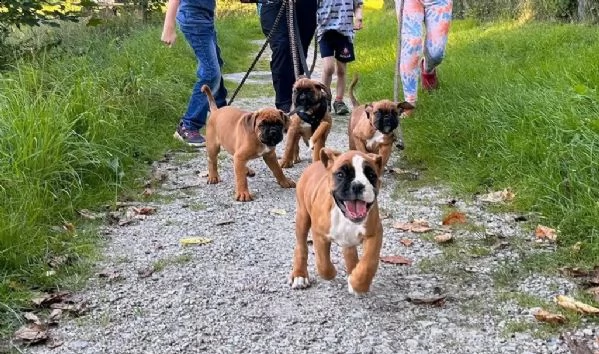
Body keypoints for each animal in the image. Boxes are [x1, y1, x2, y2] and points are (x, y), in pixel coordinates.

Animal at [290, 148, 384, 294]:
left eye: (371, 175)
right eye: (340, 174)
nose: (357, 185)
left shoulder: (374, 233)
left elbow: (369, 261)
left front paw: (358, 283)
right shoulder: (319, 235)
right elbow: (323, 263)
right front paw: (332, 272)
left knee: (350, 252)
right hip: (302, 217)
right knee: (301, 247)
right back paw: (300, 275)